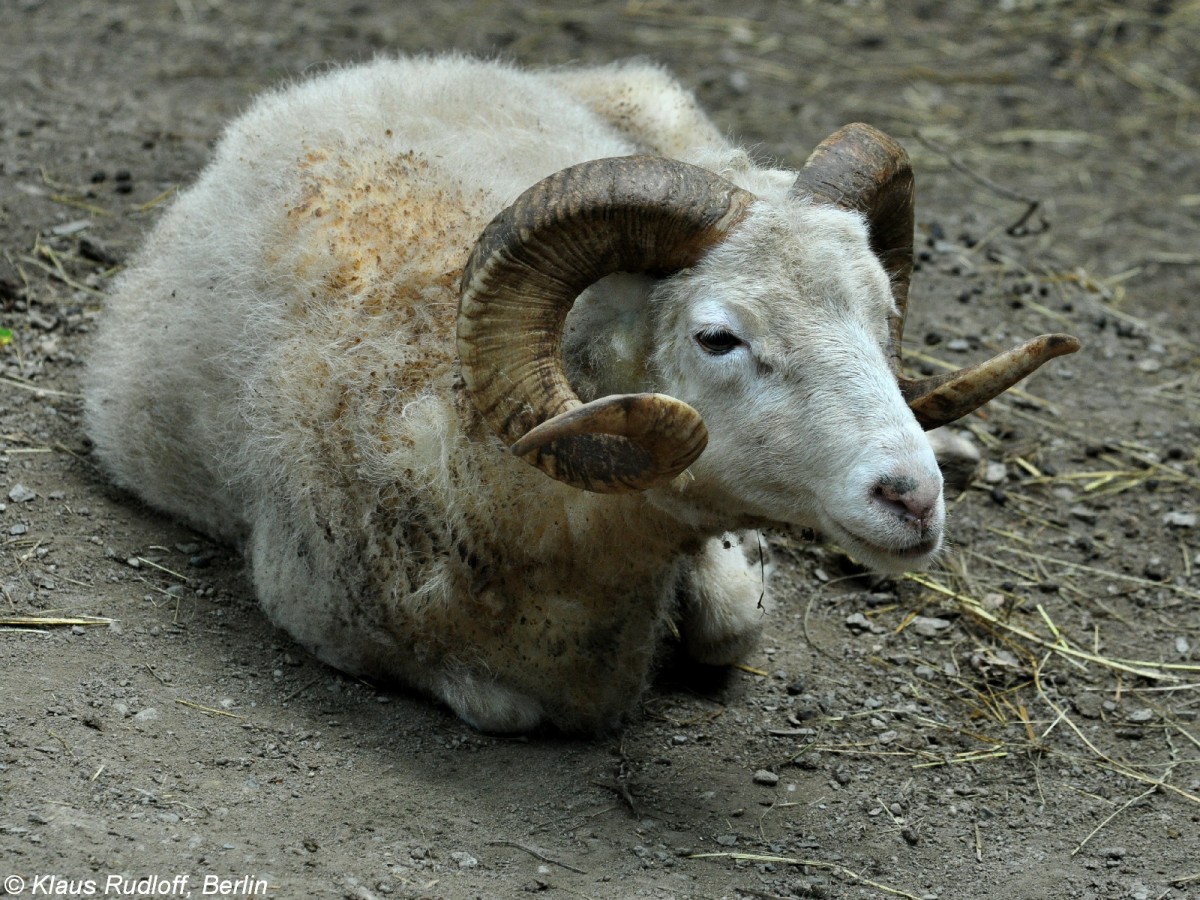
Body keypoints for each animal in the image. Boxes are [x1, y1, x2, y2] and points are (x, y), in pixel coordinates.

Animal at [84, 54, 1080, 734]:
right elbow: (506, 705)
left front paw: (742, 567)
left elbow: (730, 624)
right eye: (718, 338)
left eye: (883, 315)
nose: (911, 498)